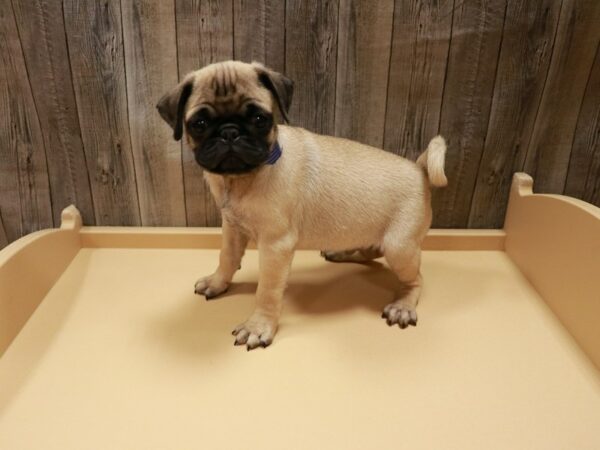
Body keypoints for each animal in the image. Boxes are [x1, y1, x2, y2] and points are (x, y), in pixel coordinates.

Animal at [157, 59, 448, 350]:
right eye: (199, 123)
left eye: (260, 120)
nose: (230, 132)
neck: (242, 178)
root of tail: (420, 169)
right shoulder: (232, 228)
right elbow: (227, 258)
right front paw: (217, 282)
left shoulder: (275, 246)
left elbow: (267, 291)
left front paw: (258, 326)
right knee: (371, 250)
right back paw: (342, 253)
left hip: (399, 247)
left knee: (415, 279)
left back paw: (403, 305)